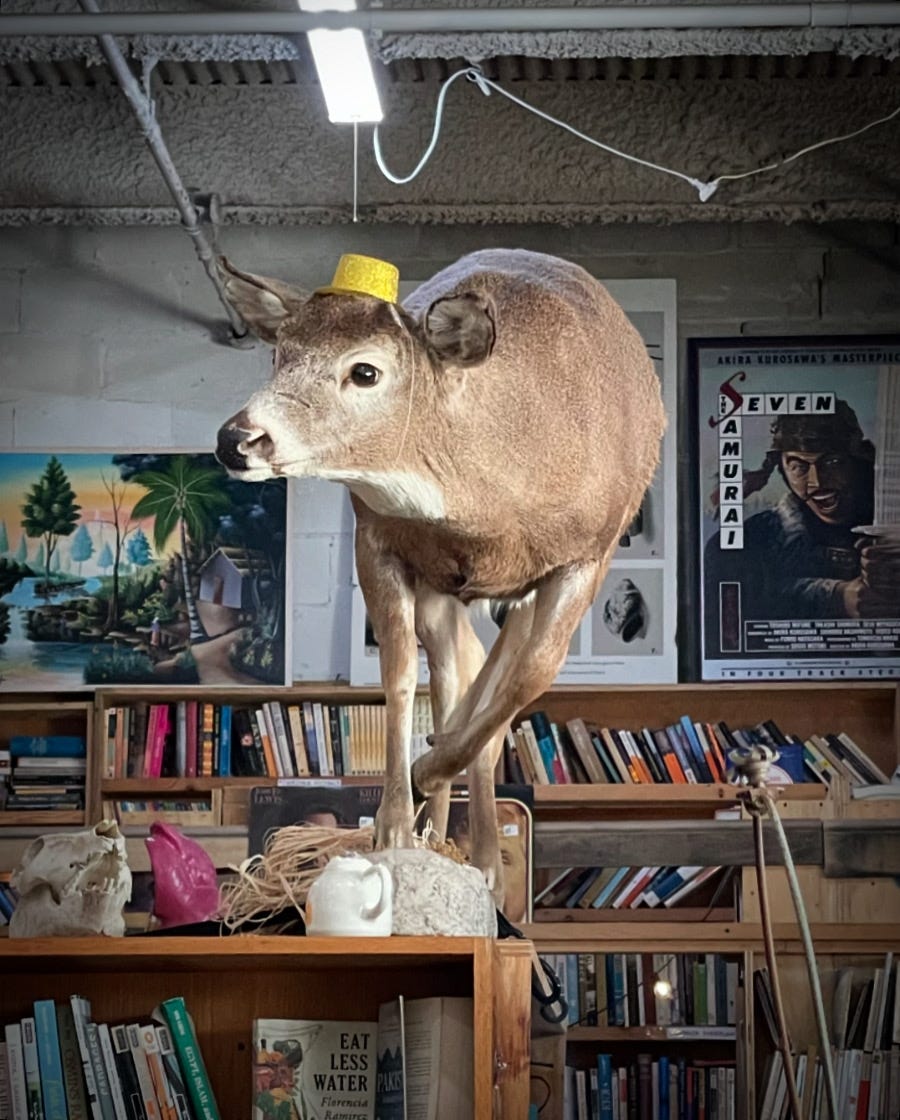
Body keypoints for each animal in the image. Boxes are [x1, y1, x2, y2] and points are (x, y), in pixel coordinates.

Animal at [217, 247, 662, 909]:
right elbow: (400, 675)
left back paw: (484, 858)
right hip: (444, 589)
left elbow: (531, 677)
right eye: (280, 354)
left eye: (365, 371)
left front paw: (426, 780)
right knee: (459, 671)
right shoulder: (379, 538)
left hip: (520, 589)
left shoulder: (588, 554)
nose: (238, 438)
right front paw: (395, 825)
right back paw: (446, 830)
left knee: (491, 690)